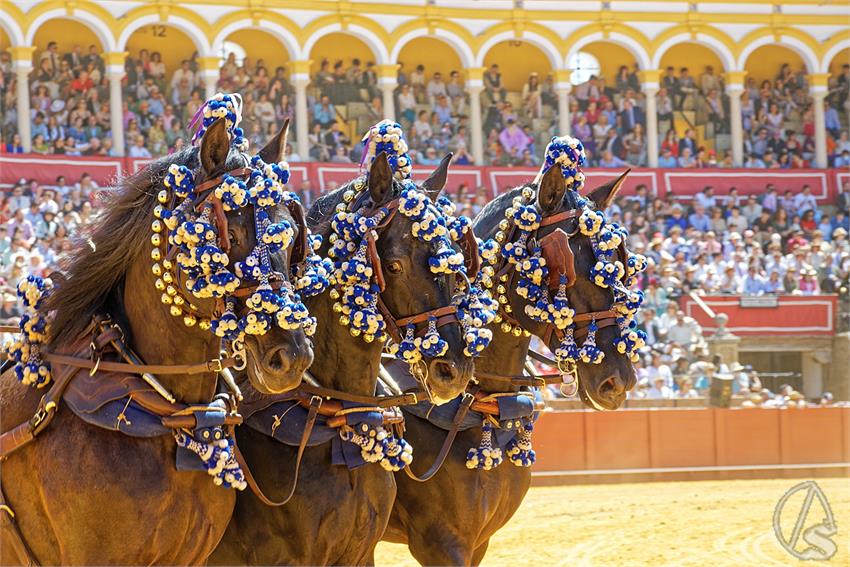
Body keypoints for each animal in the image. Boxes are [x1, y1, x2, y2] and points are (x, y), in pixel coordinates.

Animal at [384, 166, 636, 564]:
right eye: (567, 267)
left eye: (621, 267)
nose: (619, 380)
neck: (480, 405)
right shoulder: (439, 542)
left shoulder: (479, 541)